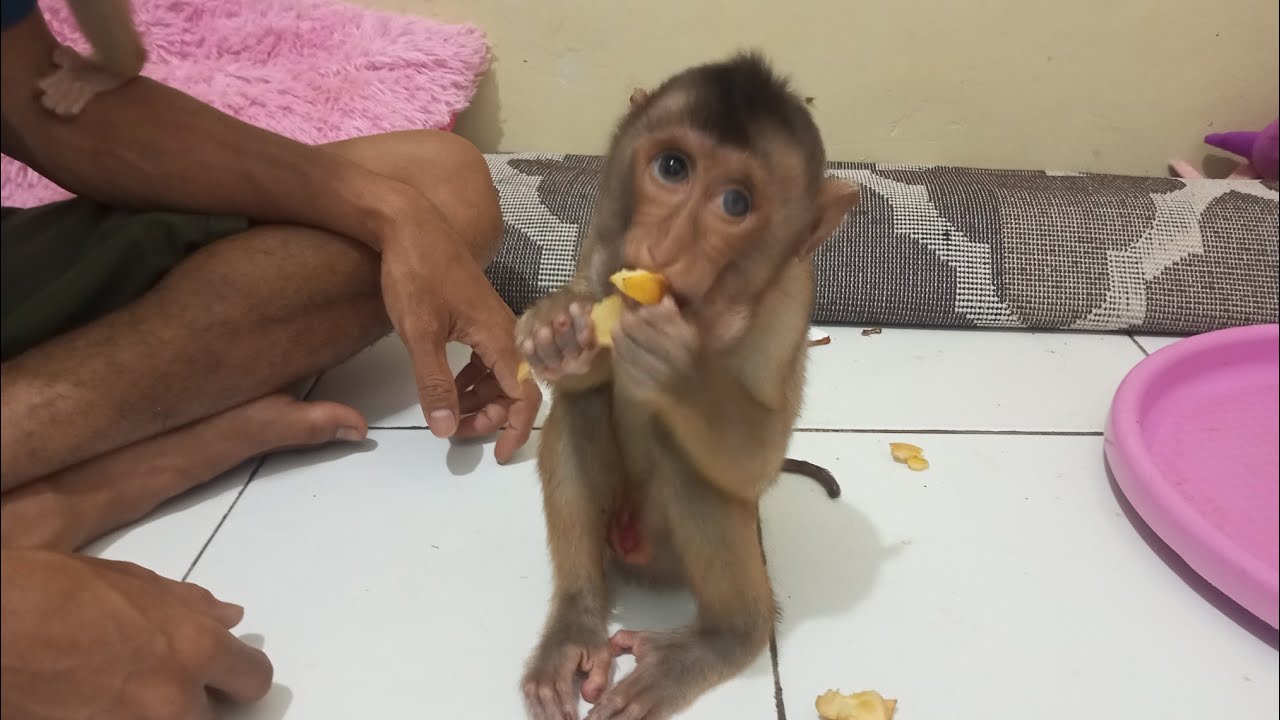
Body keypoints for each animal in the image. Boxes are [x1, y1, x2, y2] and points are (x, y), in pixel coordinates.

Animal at [514, 52, 860, 720]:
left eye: (735, 203)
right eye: (672, 168)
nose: (666, 247)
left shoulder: (787, 301)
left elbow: (755, 460)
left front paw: (677, 368)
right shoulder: (604, 238)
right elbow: (588, 368)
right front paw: (554, 328)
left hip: (671, 553)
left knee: (689, 462)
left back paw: (726, 637)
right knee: (579, 409)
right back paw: (575, 624)